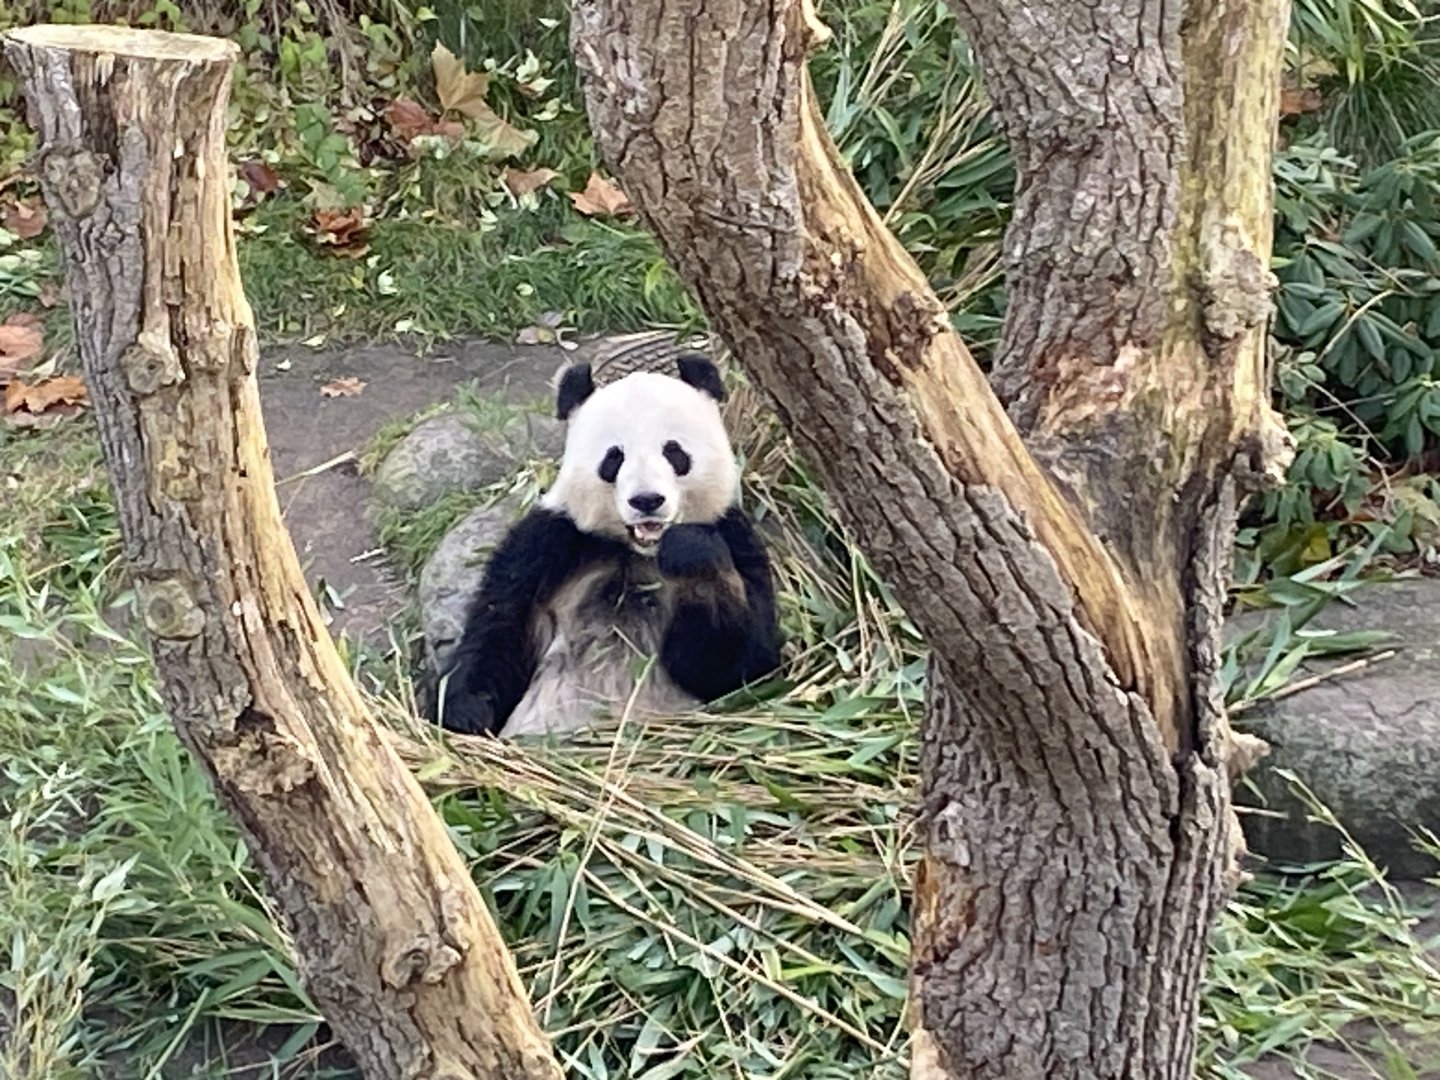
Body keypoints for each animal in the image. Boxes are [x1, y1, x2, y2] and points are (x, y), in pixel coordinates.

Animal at [435, 352, 782, 738]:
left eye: (674, 452)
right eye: (614, 457)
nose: (647, 500)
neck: (635, 550)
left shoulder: (736, 537)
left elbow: (739, 665)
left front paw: (691, 553)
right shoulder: (549, 540)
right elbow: (499, 625)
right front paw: (468, 712)